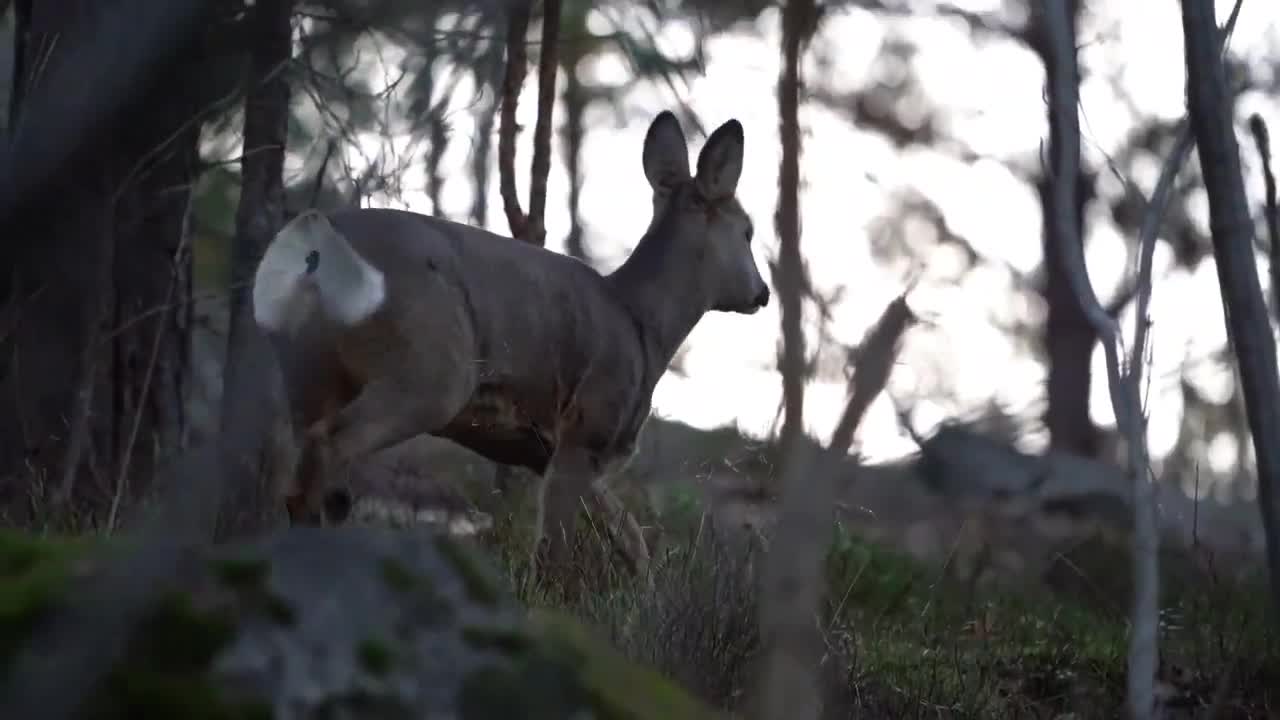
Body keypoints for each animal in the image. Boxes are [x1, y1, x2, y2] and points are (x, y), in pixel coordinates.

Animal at [254, 109, 762, 573]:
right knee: (328, 446)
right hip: (430, 369)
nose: (762, 293)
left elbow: (628, 533)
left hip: (306, 365)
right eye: (748, 231)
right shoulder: (588, 427)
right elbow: (555, 548)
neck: (643, 326)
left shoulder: (553, 452)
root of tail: (319, 242)